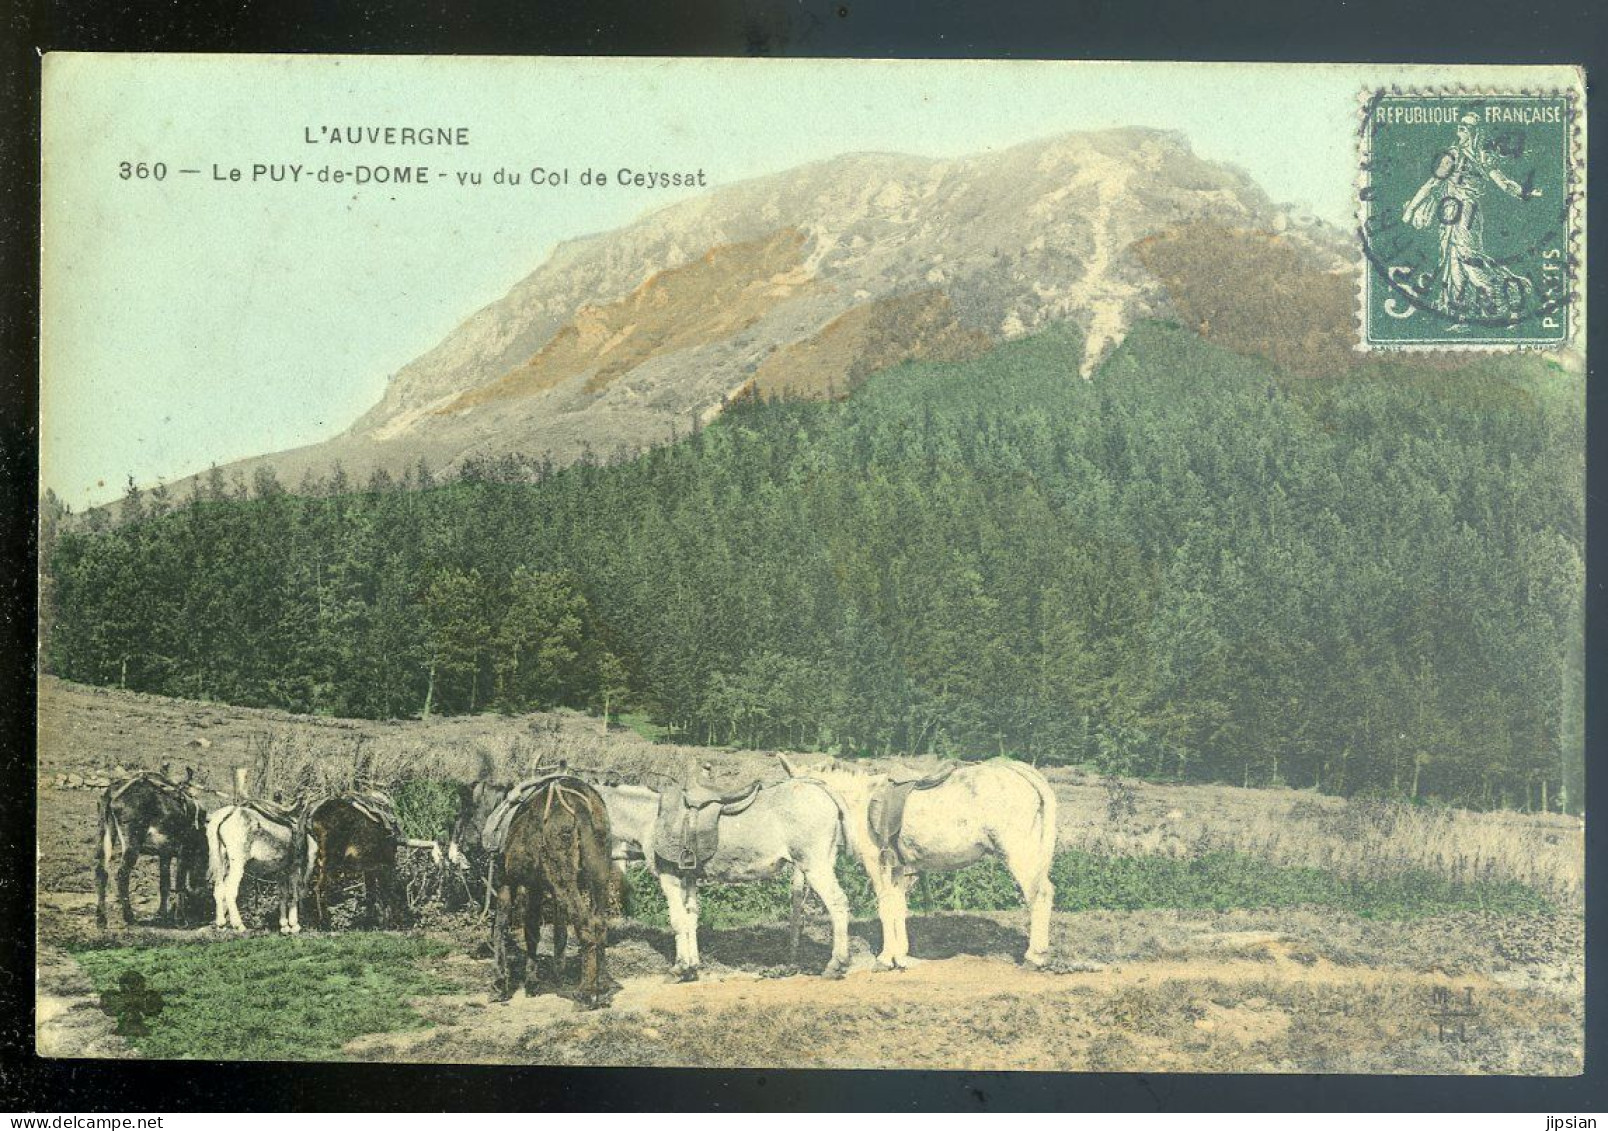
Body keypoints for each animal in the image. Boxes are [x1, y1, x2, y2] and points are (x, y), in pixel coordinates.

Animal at [205, 804, 315, 939]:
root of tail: (230, 811)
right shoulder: (294, 868)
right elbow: (294, 895)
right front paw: (294, 926)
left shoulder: (281, 872)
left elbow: (283, 895)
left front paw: (284, 926)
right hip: (237, 864)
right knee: (230, 891)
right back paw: (239, 926)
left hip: (221, 864)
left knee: (218, 890)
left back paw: (221, 925)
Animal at [299, 791, 408, 933]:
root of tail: (313, 810)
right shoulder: (385, 866)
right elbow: (387, 893)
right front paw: (388, 923)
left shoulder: (371, 869)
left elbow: (371, 894)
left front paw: (372, 923)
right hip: (330, 859)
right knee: (320, 888)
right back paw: (325, 924)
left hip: (311, 858)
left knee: (303, 887)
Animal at [485, 778, 617, 1010]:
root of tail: (581, 802)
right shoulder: (536, 886)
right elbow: (535, 931)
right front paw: (532, 982)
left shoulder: (506, 882)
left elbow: (500, 927)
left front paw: (500, 984)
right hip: (599, 877)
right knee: (600, 924)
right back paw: (601, 988)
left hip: (563, 880)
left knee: (585, 923)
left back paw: (585, 994)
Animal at [598, 778, 855, 984]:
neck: (650, 817)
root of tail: (821, 788)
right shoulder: (688, 877)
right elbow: (691, 919)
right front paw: (692, 967)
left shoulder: (669, 877)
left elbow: (678, 921)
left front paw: (679, 969)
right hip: (825, 861)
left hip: (814, 865)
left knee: (838, 904)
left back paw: (836, 964)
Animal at [778, 756, 1054, 971]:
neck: (858, 802)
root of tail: (1018, 770)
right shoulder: (898, 868)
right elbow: (898, 908)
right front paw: (900, 956)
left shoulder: (877, 865)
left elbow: (885, 908)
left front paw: (885, 959)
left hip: (1019, 853)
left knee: (1039, 895)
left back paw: (1034, 957)